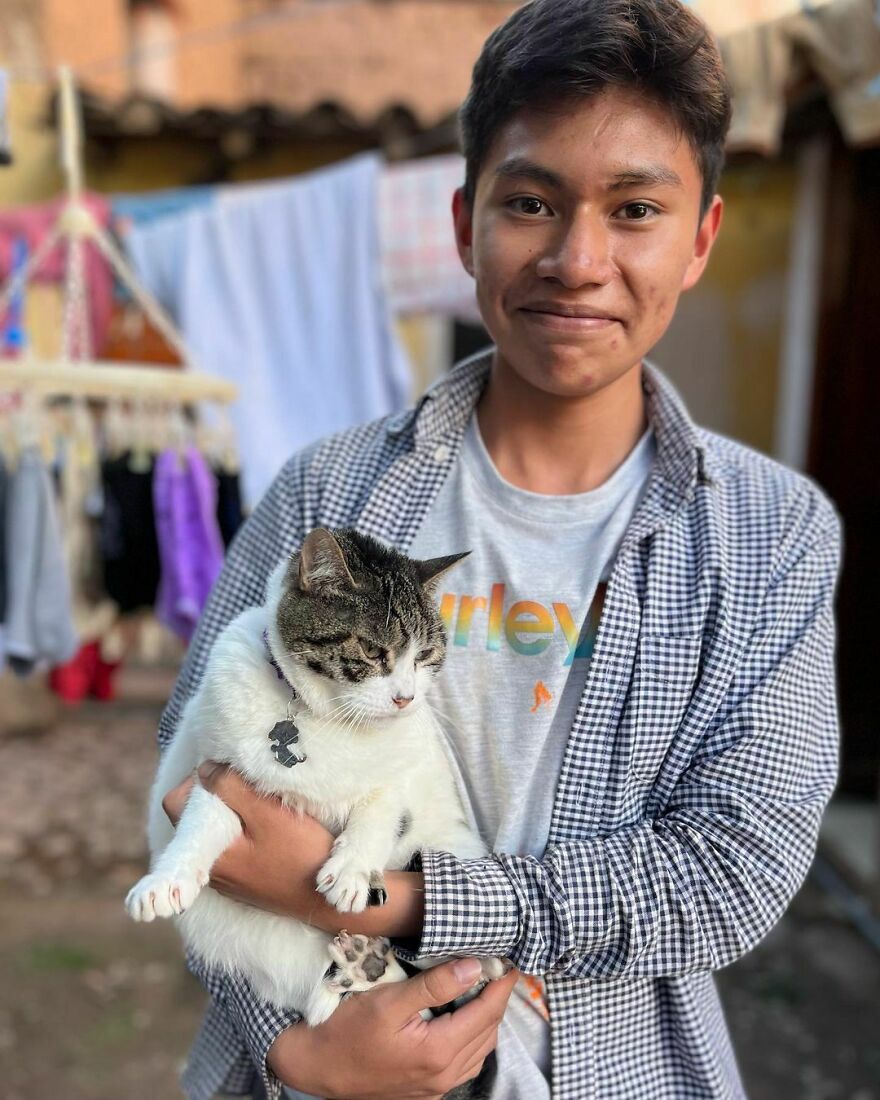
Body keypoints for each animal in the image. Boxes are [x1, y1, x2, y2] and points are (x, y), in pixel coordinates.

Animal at [126, 523, 506, 1029]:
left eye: (425, 655)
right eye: (371, 650)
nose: (405, 698)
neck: (329, 716)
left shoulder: (400, 776)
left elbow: (380, 807)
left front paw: (351, 868)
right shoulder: (220, 773)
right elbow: (202, 822)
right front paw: (166, 879)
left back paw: (468, 959)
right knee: (324, 999)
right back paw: (365, 964)